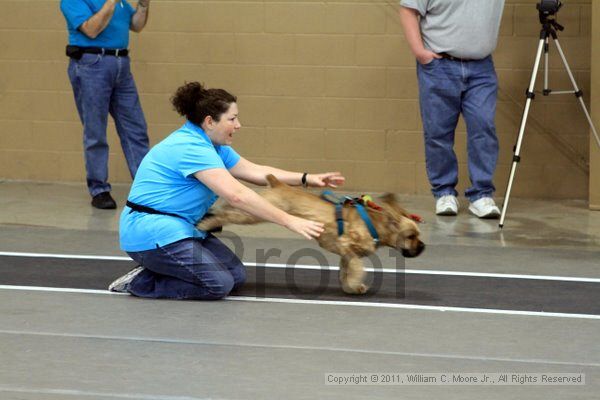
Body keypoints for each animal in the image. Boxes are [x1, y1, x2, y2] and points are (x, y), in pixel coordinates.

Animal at [199, 175, 424, 294]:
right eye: (411, 236)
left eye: (418, 235)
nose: (422, 247)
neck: (376, 225)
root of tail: (277, 183)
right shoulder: (349, 247)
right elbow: (357, 268)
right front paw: (355, 284)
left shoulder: (346, 255)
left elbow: (346, 271)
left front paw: (350, 287)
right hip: (253, 213)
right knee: (228, 213)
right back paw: (206, 223)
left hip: (252, 209)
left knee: (229, 207)